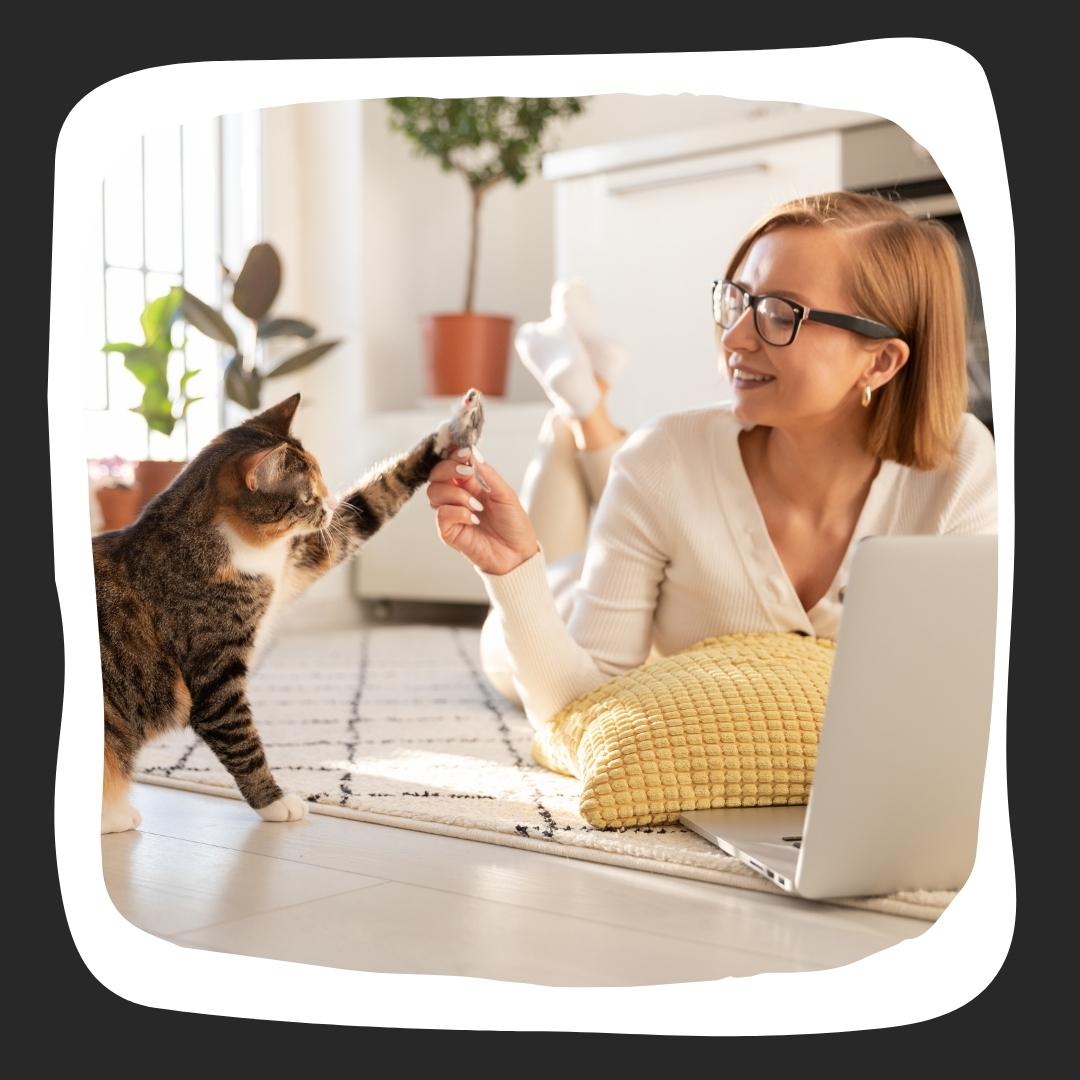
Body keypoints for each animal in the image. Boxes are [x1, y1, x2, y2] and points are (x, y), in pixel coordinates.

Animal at [95, 390, 483, 833]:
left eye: (323, 484)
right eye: (307, 496)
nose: (328, 503)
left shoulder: (297, 560)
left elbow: (371, 504)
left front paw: (452, 433)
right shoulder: (215, 673)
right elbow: (242, 741)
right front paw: (276, 802)